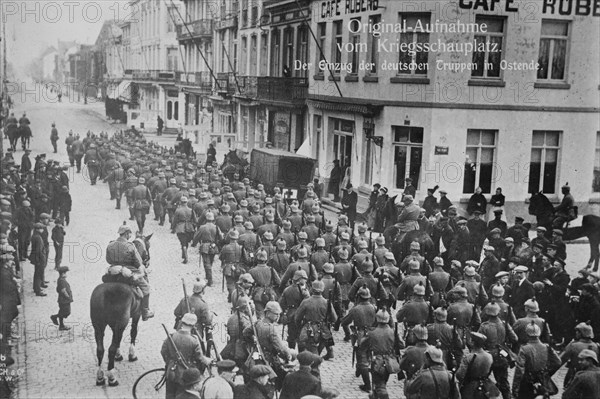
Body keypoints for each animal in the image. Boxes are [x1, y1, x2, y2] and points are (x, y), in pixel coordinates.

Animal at [91, 234, 154, 388]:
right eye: (148, 246)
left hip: (98, 326)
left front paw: (119, 356)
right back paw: (112, 377)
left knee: (100, 349)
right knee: (110, 349)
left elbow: (118, 340)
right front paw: (131, 355)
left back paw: (100, 377)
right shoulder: (135, 315)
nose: (147, 261)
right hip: (120, 323)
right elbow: (133, 332)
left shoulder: (114, 325)